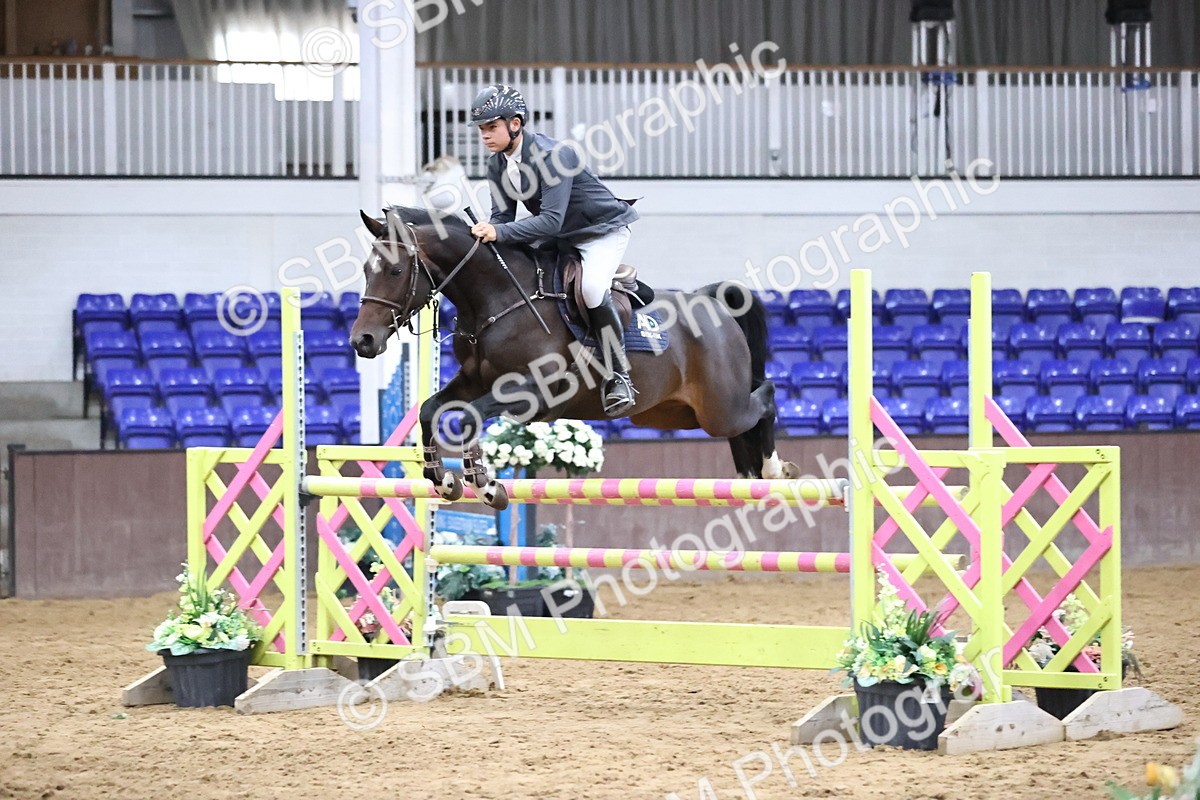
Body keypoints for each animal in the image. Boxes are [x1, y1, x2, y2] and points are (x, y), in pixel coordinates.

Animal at [349, 206, 798, 509]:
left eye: (395, 272)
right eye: (367, 270)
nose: (362, 341)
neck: (498, 299)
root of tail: (713, 302)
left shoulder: (533, 392)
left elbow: (468, 417)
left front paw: (487, 486)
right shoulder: (474, 381)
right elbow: (431, 409)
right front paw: (442, 480)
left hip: (719, 407)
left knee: (766, 397)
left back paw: (775, 470)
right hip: (674, 414)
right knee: (745, 421)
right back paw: (748, 477)